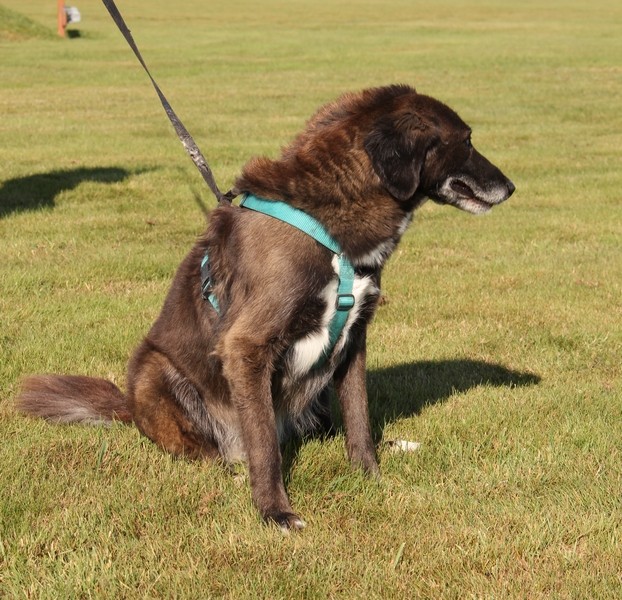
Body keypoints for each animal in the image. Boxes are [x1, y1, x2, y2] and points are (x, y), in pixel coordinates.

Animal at [18, 85, 516, 528]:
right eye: (466, 140)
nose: (512, 187)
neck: (330, 224)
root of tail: (128, 408)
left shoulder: (354, 339)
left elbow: (359, 421)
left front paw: (369, 476)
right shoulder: (248, 347)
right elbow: (264, 445)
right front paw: (274, 511)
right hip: (154, 371)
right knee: (205, 446)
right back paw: (226, 466)